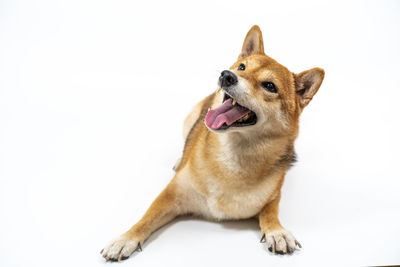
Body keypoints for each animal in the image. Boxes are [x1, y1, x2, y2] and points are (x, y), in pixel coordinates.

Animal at [101, 25, 324, 262]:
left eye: (270, 86)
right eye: (242, 67)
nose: (227, 75)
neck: (233, 159)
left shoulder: (273, 196)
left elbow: (271, 213)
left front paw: (277, 231)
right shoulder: (171, 194)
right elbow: (146, 218)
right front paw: (125, 239)